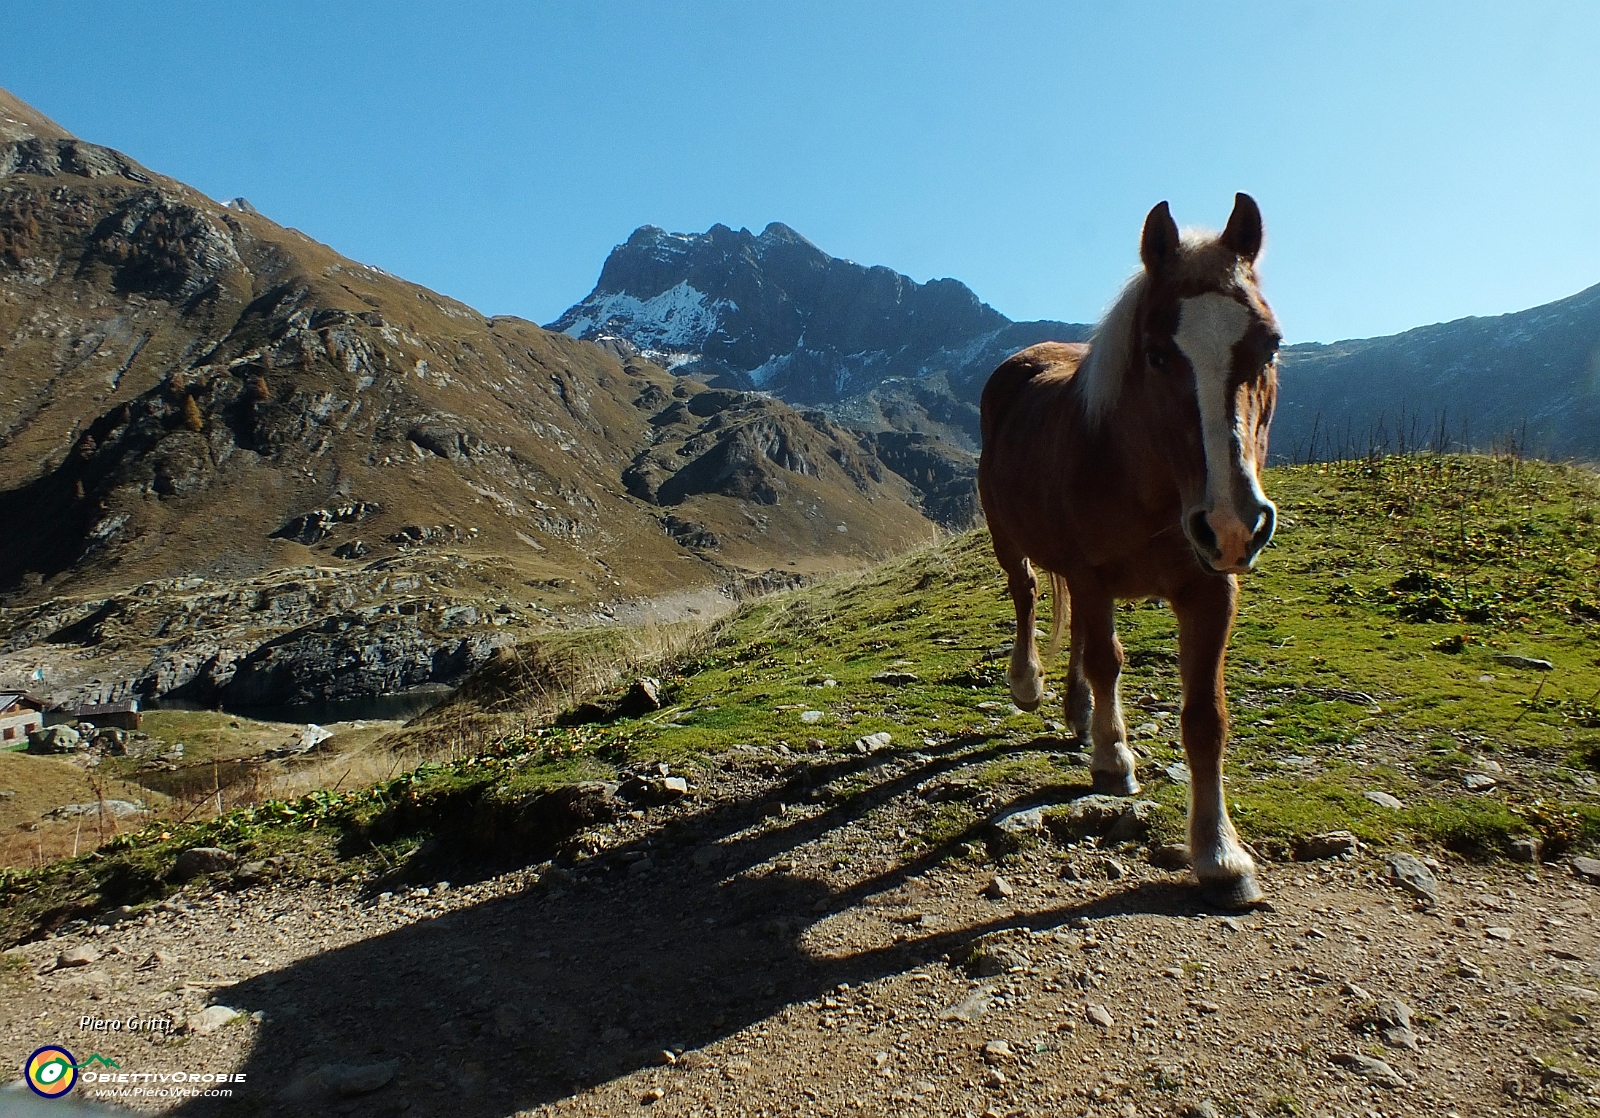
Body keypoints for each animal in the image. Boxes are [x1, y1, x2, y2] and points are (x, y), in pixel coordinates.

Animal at [966, 194, 1280, 908]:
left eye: (1270, 343)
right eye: (1157, 355)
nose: (1232, 524)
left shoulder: (1210, 589)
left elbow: (1205, 716)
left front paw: (1221, 854)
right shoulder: (1092, 573)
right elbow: (1108, 660)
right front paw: (1114, 761)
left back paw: (1079, 713)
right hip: (1010, 538)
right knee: (1028, 595)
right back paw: (1033, 685)